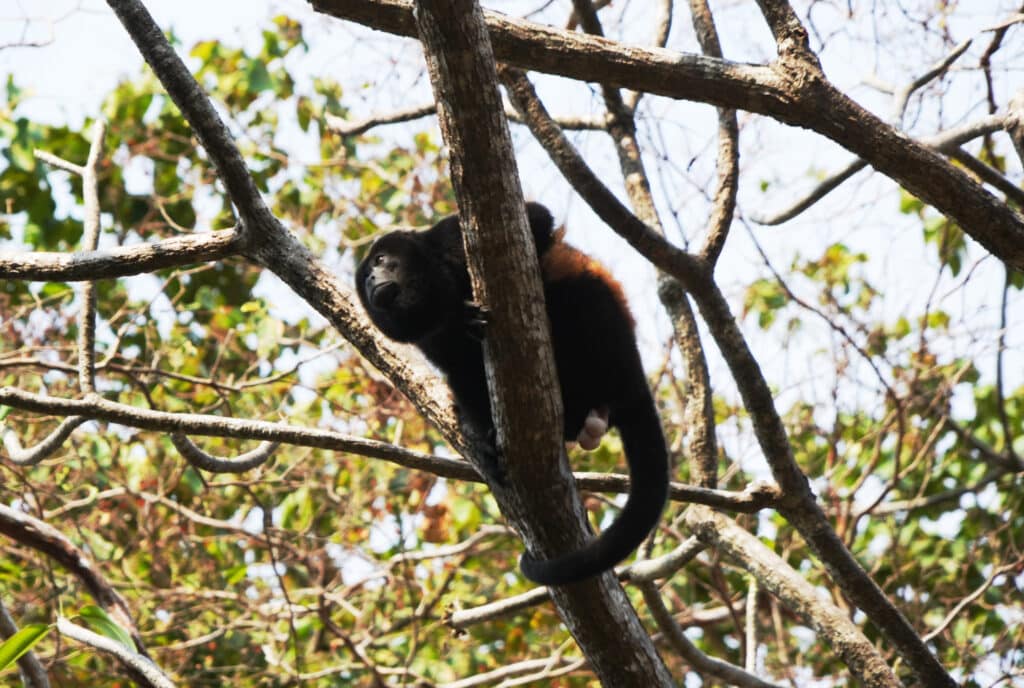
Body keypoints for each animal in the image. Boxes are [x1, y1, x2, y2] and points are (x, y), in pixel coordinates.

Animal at [356, 203, 669, 585]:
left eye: (381, 260)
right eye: (366, 275)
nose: (371, 279)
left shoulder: (449, 237)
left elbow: (538, 219)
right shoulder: (428, 337)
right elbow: (457, 368)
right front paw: (484, 443)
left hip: (606, 337)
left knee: (576, 290)